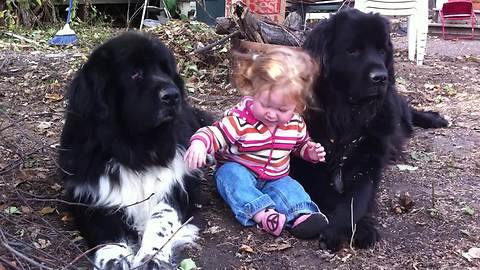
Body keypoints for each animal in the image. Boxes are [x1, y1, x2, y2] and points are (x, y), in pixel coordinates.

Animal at [57, 32, 210, 268]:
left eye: (165, 70)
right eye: (135, 73)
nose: (172, 95)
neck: (135, 148)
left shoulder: (175, 188)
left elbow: (162, 217)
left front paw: (152, 257)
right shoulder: (90, 196)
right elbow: (106, 229)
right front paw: (114, 257)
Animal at [288, 8, 450, 253]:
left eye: (382, 50)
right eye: (352, 51)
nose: (381, 77)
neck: (346, 115)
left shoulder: (370, 161)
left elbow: (358, 199)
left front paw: (347, 228)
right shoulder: (305, 164)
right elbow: (327, 194)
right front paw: (351, 228)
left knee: (408, 111)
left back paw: (435, 119)